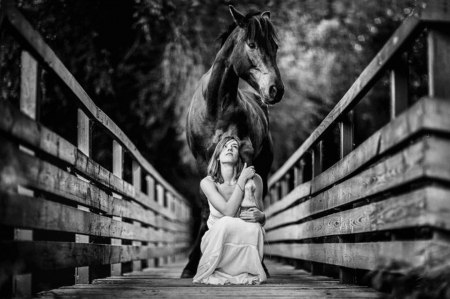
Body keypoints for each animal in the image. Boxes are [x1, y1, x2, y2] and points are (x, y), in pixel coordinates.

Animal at [180, 4, 284, 278]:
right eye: (252, 44)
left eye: (275, 46)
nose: (275, 90)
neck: (215, 105)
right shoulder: (202, 161)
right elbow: (206, 208)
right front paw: (191, 265)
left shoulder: (244, 153)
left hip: (264, 167)